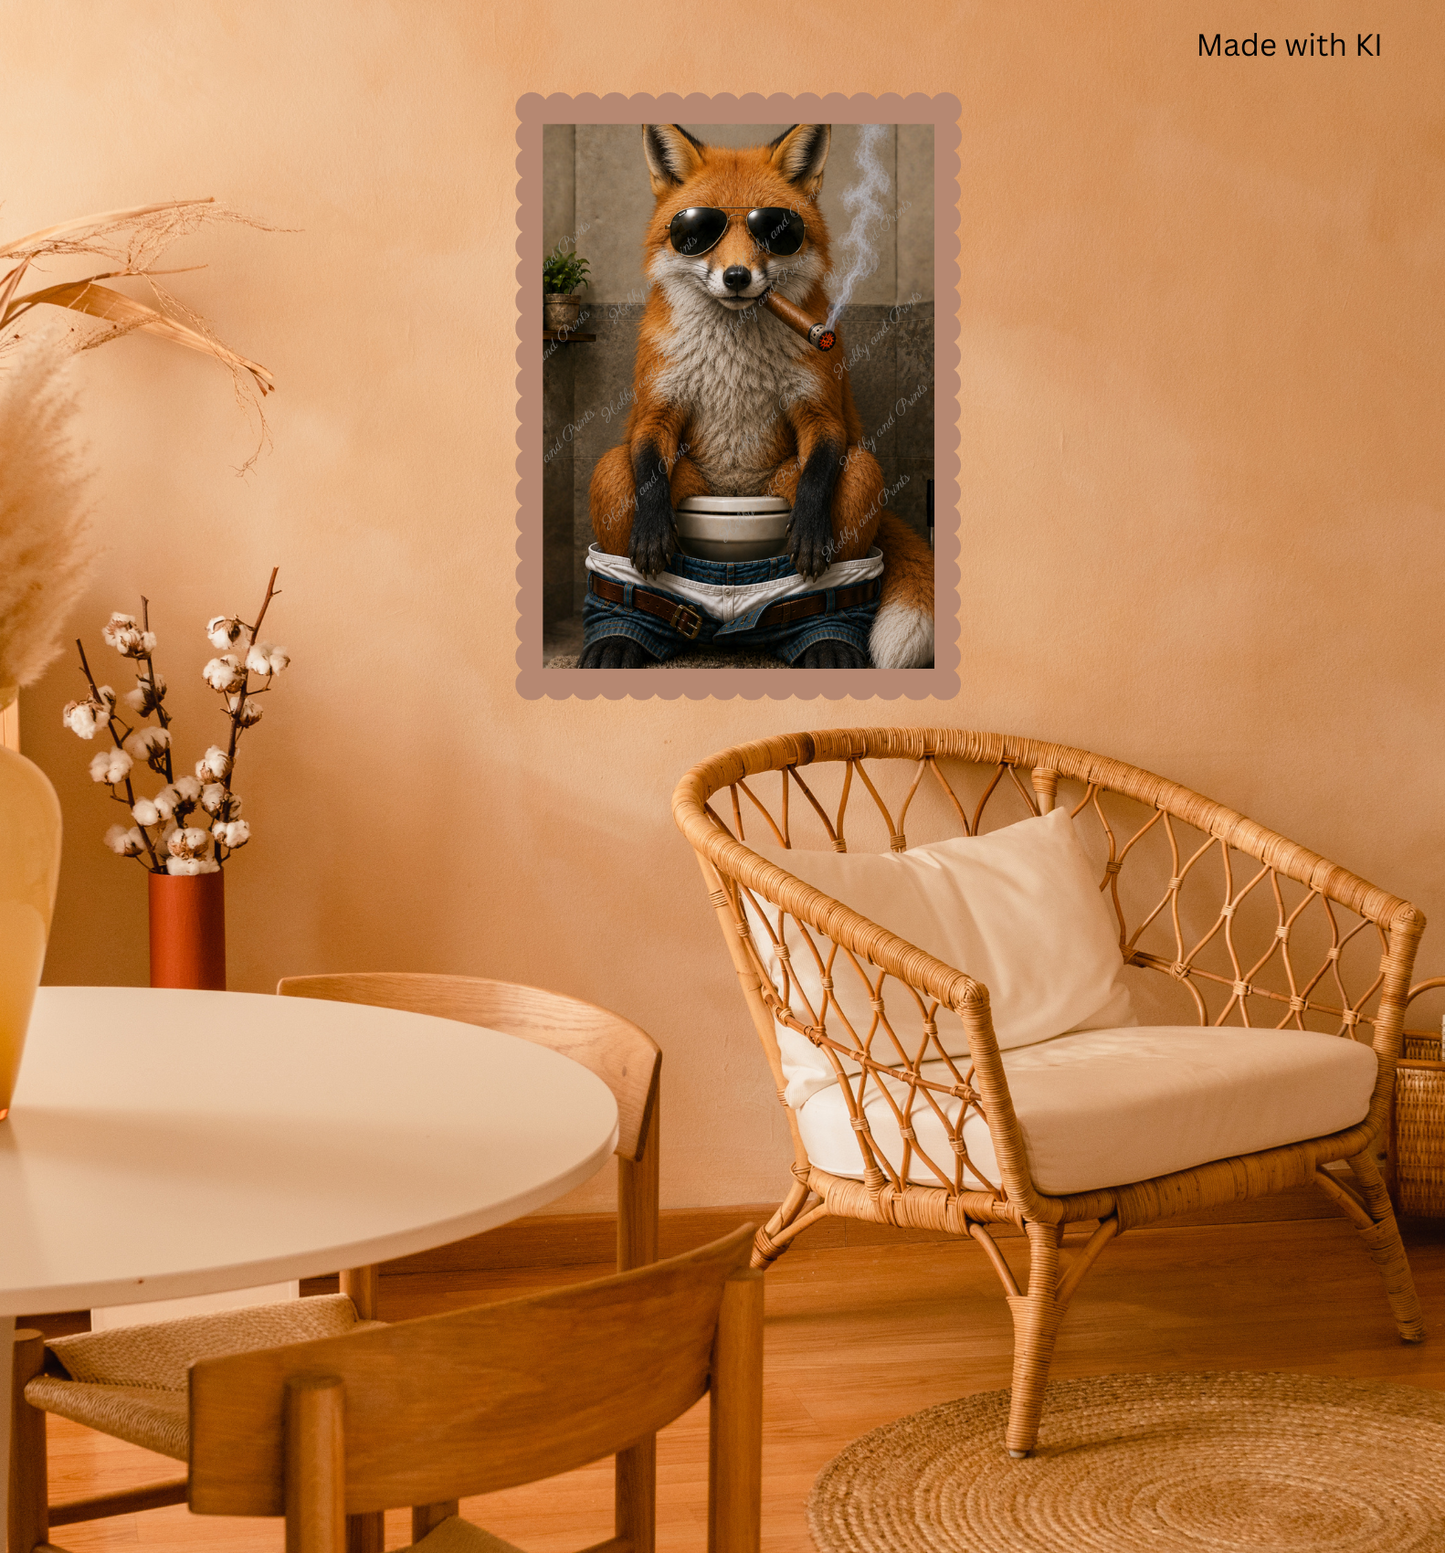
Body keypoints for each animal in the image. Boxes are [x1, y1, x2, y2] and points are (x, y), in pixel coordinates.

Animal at [580, 122, 935, 670]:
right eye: (696, 233)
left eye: (776, 231)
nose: (737, 277)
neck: (735, 356)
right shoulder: (657, 409)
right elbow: (648, 466)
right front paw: (651, 529)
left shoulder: (819, 408)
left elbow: (820, 471)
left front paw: (810, 528)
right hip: (627, 479)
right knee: (622, 478)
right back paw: (620, 636)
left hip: (846, 477)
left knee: (847, 505)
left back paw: (827, 640)